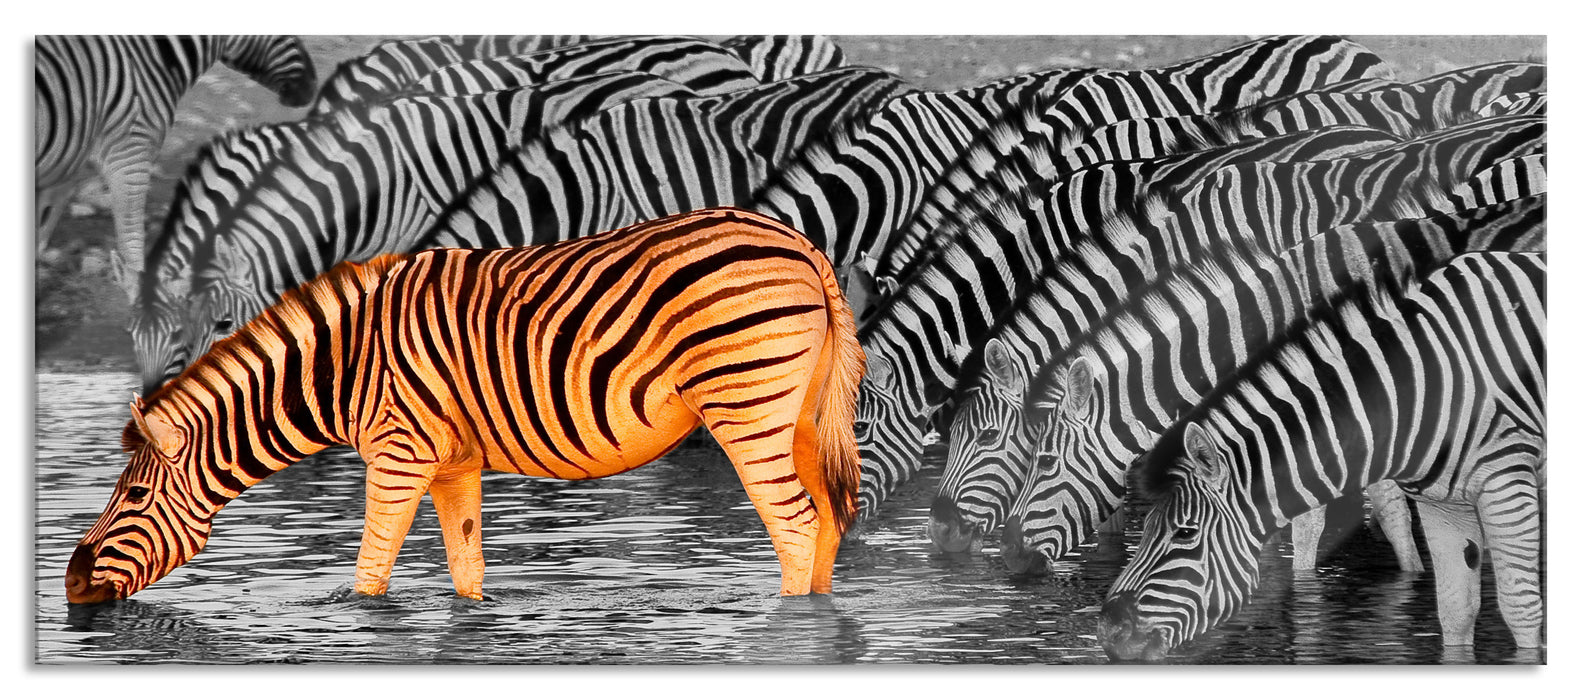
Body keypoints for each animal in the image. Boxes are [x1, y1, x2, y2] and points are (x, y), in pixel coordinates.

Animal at [34, 35, 316, 298]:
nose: (312, 85)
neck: (153, 59)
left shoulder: (67, 165)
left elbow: (41, 233)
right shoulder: (130, 155)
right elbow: (132, 247)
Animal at [65, 208, 866, 604]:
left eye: (133, 496)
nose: (69, 585)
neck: (343, 369)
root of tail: (801, 245)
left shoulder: (398, 452)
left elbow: (369, 575)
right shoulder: (452, 463)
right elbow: (466, 570)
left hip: (745, 404)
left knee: (795, 526)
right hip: (797, 413)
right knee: (828, 520)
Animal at [1098, 251, 1545, 660]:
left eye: (1185, 533)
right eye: (1146, 527)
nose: (1107, 632)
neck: (1413, 388)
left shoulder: (1506, 481)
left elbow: (1521, 609)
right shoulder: (1443, 506)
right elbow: (1455, 610)